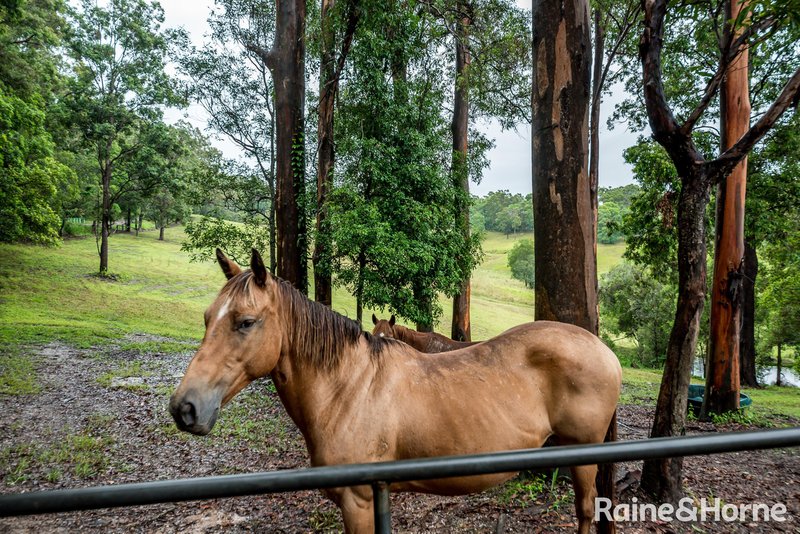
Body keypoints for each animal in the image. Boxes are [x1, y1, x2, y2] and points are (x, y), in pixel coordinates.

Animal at [172, 251, 620, 534]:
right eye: (208, 318)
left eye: (245, 322)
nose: (185, 407)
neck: (347, 388)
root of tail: (604, 351)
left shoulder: (358, 501)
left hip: (582, 455)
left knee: (585, 511)